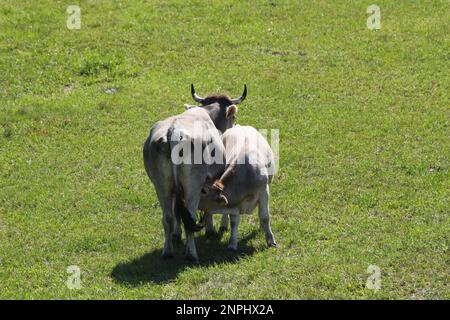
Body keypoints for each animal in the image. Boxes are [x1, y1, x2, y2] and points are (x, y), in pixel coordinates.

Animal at [143, 85, 246, 262]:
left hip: (160, 186)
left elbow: (176, 210)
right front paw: (213, 228)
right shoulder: (210, 180)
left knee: (167, 217)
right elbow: (209, 206)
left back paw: (167, 251)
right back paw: (191, 254)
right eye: (233, 116)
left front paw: (176, 234)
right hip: (193, 186)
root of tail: (173, 132)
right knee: (190, 217)